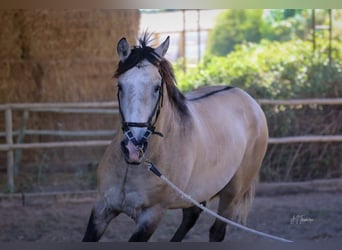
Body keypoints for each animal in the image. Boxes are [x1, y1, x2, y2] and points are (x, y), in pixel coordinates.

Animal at [81, 33, 268, 242]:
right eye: (120, 86)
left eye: (157, 87)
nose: (133, 148)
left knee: (216, 231)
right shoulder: (102, 208)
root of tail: (249, 101)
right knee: (191, 216)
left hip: (232, 194)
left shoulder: (151, 216)